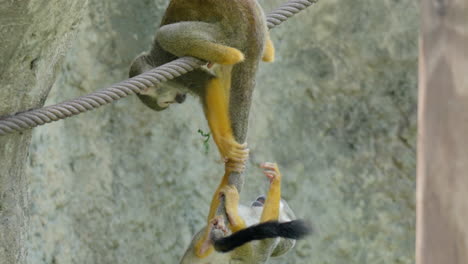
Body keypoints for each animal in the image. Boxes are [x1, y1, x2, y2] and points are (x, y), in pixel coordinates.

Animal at [128, 0, 276, 256]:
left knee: (167, 34)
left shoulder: (179, 74)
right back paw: (266, 50)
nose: (180, 100)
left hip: (227, 32)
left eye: (164, 102)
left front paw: (225, 146)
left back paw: (231, 56)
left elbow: (207, 82)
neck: (155, 60)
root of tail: (251, 22)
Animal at [179, 162, 310, 262]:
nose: (261, 197)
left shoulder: (273, 239)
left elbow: (251, 256)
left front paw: (276, 183)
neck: (254, 218)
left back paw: (204, 247)